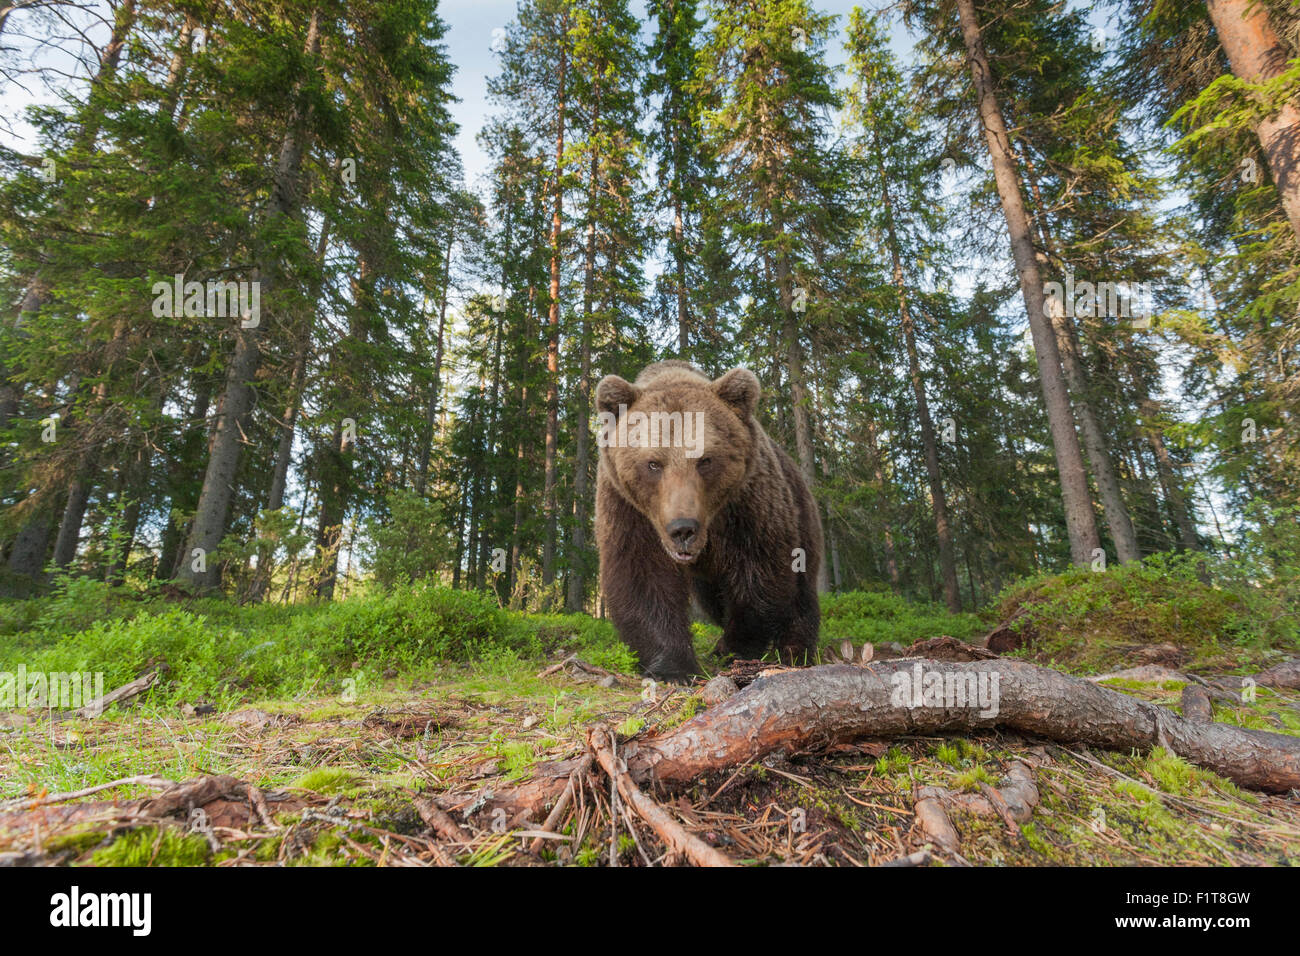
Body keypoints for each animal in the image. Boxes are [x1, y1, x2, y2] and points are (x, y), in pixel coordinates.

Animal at [592, 358, 816, 681]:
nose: (682, 528)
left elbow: (760, 573)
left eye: (705, 460)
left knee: (802, 589)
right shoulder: (628, 509)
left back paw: (795, 651)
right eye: (653, 464)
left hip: (799, 508)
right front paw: (674, 667)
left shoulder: (747, 504)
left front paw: (732, 648)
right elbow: (643, 576)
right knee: (713, 601)